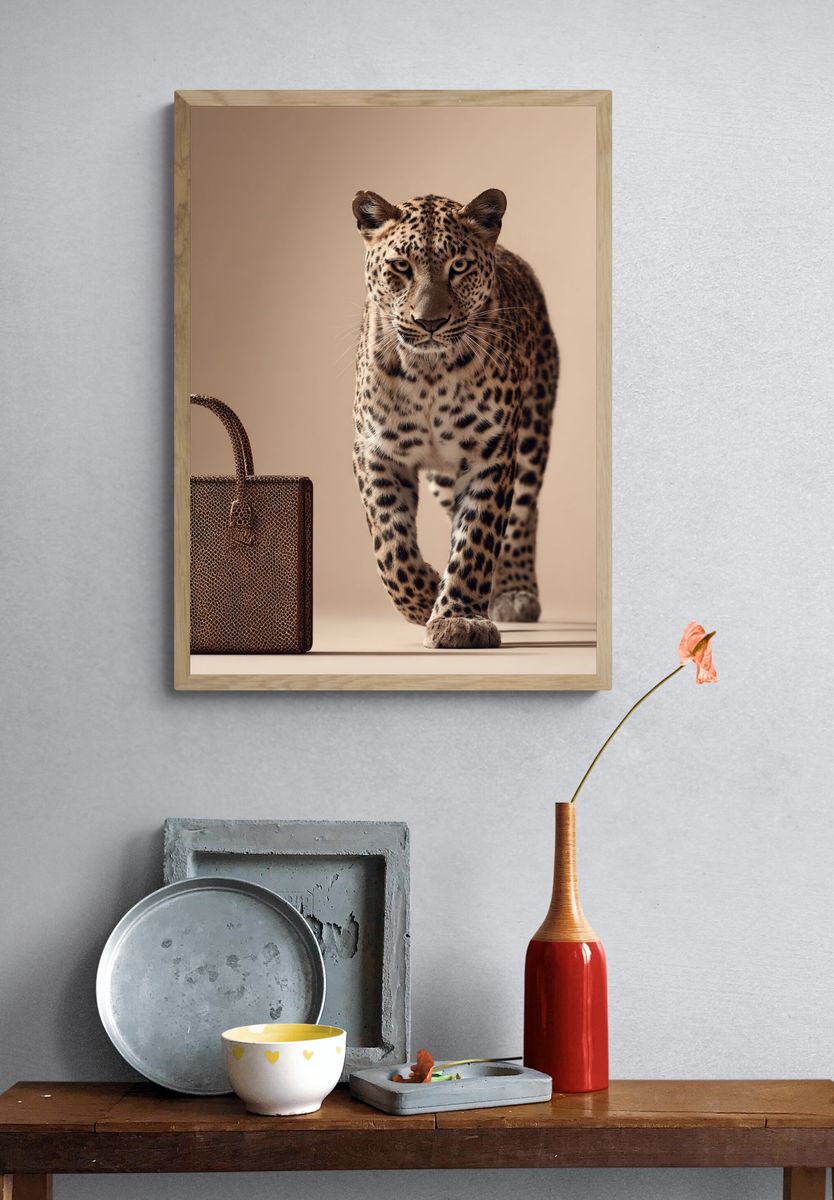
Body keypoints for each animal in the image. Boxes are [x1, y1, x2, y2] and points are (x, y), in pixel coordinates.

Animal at [352, 188, 559, 650]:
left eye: (459, 266)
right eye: (401, 267)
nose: (430, 322)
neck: (429, 372)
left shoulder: (490, 454)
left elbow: (477, 539)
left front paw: (458, 618)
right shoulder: (377, 452)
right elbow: (390, 547)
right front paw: (425, 594)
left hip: (532, 436)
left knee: (524, 513)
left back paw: (514, 592)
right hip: (443, 478)